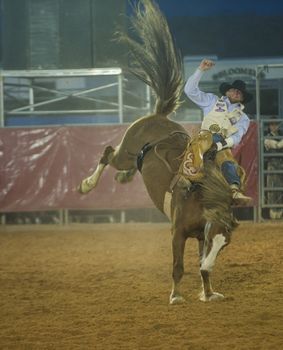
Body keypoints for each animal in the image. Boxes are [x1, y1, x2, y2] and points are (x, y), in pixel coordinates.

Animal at [78, 0, 240, 304]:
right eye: (213, 238)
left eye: (224, 245)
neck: (197, 198)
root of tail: (158, 114)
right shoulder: (177, 233)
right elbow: (178, 266)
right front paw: (176, 296)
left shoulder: (196, 237)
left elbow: (200, 268)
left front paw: (209, 292)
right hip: (125, 152)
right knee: (108, 153)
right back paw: (86, 185)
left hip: (135, 158)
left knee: (126, 163)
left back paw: (124, 179)